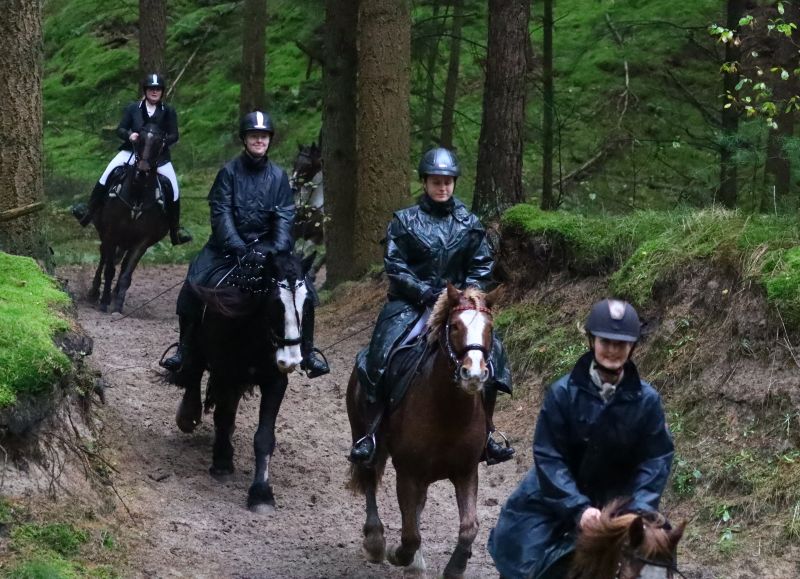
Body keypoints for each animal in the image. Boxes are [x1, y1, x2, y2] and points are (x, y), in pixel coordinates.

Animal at [88, 123, 170, 313]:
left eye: (158, 143)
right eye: (139, 139)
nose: (142, 172)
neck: (137, 196)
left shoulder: (142, 241)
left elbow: (127, 273)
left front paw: (117, 305)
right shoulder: (111, 233)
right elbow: (109, 269)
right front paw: (104, 301)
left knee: (123, 264)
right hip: (106, 233)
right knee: (104, 256)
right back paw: (94, 292)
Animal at [177, 249, 315, 513]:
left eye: (307, 303)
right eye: (276, 303)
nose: (291, 359)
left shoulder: (275, 381)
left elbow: (264, 437)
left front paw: (261, 494)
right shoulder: (227, 373)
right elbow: (222, 416)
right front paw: (221, 463)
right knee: (193, 373)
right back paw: (188, 416)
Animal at [346, 283, 501, 579]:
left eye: (489, 328)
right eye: (454, 325)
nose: (474, 374)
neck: (448, 412)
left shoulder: (466, 472)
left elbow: (469, 527)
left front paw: (455, 567)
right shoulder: (408, 472)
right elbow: (410, 535)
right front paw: (399, 555)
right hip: (365, 437)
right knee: (370, 478)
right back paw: (375, 542)